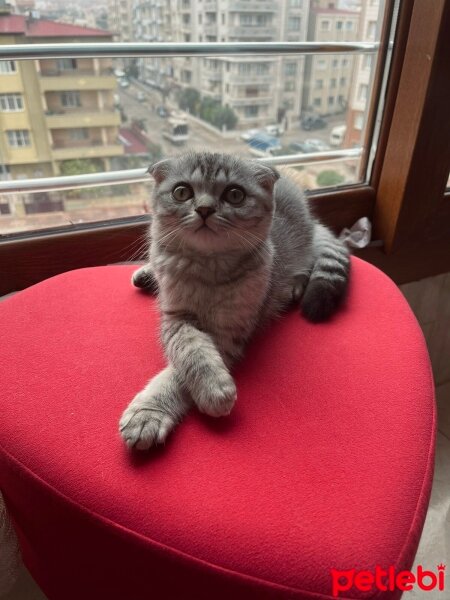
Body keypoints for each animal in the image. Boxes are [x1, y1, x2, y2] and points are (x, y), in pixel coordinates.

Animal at [118, 152, 350, 448]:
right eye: (182, 192)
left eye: (235, 195)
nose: (204, 209)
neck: (207, 270)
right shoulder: (175, 318)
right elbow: (191, 351)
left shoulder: (228, 332)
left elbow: (180, 371)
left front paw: (197, 396)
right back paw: (148, 275)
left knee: (307, 263)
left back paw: (294, 287)